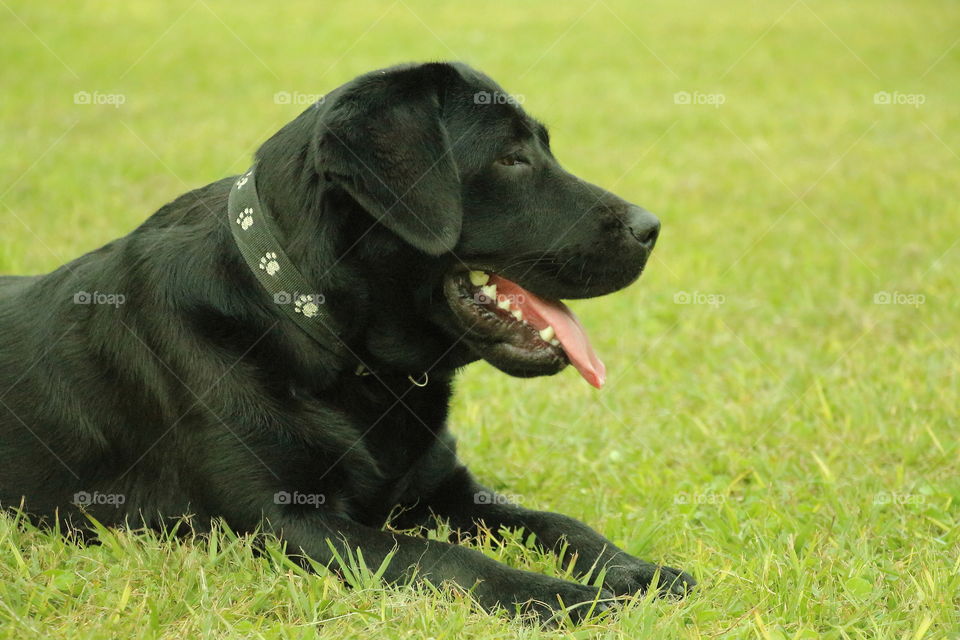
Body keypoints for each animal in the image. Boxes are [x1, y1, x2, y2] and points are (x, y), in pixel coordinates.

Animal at [0, 62, 688, 624]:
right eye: (511, 158)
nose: (652, 227)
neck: (339, 351)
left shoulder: (446, 486)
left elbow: (556, 523)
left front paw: (636, 571)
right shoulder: (290, 522)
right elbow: (443, 559)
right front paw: (560, 597)